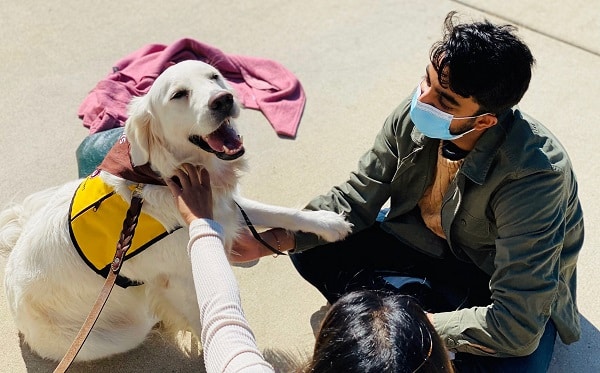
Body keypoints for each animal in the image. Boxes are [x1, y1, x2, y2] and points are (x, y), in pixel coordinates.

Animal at [0, 60, 352, 360]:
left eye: (215, 77)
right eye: (179, 95)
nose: (223, 100)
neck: (165, 175)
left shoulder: (225, 205)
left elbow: (281, 211)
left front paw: (327, 223)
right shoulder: (182, 278)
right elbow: (202, 318)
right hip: (121, 329)